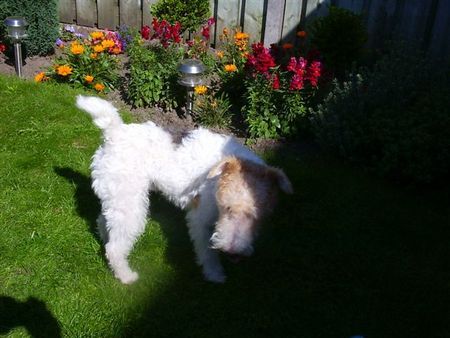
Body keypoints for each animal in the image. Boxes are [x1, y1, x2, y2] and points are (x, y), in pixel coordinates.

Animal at [76, 95, 294, 282]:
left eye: (256, 215)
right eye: (227, 208)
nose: (232, 251)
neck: (216, 179)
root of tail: (114, 132)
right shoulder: (200, 219)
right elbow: (208, 253)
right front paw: (215, 275)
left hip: (118, 198)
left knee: (103, 222)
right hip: (130, 203)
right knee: (114, 247)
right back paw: (126, 276)